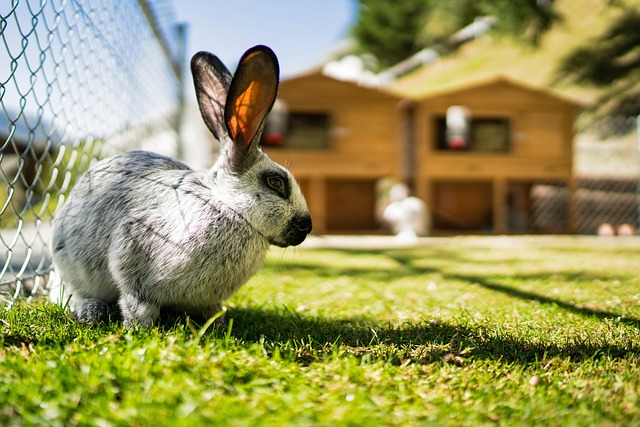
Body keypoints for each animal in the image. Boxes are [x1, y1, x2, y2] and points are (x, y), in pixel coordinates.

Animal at [49, 45, 312, 327]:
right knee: (74, 293)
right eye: (276, 182)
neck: (230, 206)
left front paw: (217, 323)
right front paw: (139, 328)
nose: (307, 226)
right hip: (71, 269)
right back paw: (92, 312)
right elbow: (135, 300)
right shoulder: (132, 250)